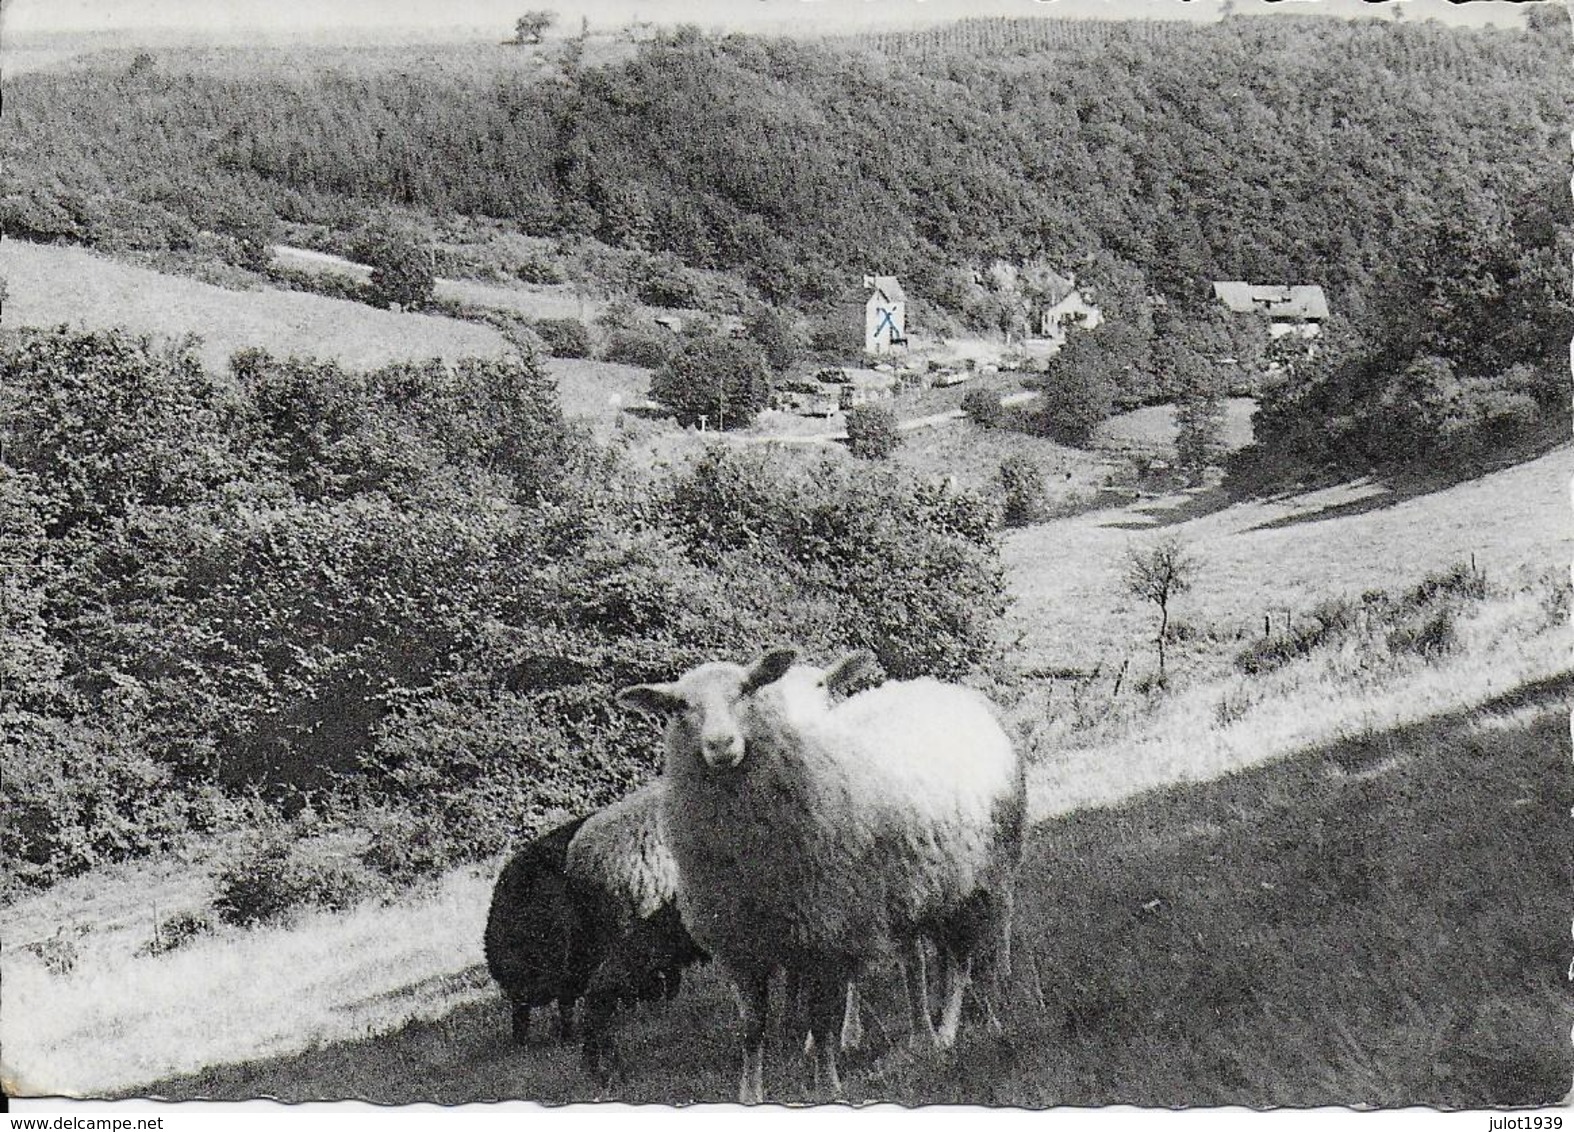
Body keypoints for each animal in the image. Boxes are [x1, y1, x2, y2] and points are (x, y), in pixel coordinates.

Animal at [613, 651, 1019, 1102]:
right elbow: (752, 1029)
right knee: (930, 959)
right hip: (923, 887)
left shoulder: (827, 931)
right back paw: (928, 1032)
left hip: (981, 877)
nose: (720, 745)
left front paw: (828, 1085)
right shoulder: (740, 945)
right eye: (679, 706)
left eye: (747, 690)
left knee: (969, 955)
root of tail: (936, 687)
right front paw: (751, 1094)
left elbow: (822, 1018)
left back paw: (959, 1026)